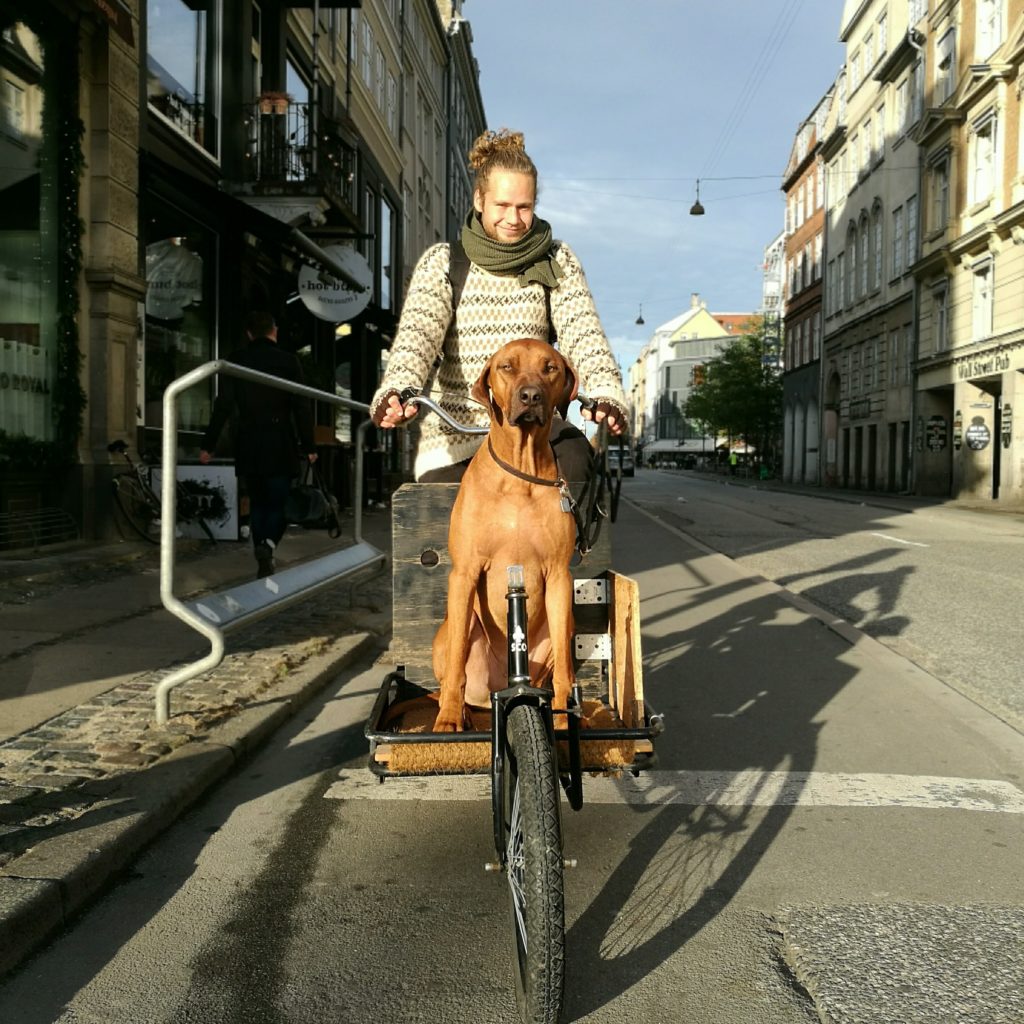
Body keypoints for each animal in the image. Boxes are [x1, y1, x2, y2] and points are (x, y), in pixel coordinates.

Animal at [428, 339, 581, 733]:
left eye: (549, 367)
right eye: (507, 367)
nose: (531, 396)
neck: (519, 471)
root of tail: (500, 686)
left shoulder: (559, 575)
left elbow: (565, 670)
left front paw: (563, 717)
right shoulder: (463, 573)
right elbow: (455, 667)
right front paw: (448, 718)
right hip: (458, 626)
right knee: (449, 676)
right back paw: (457, 709)